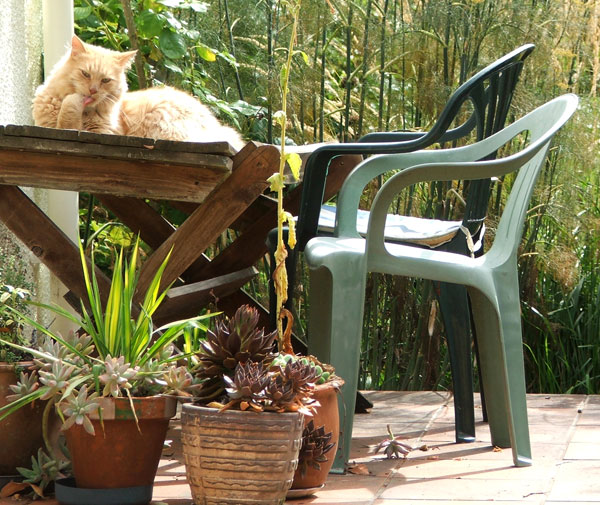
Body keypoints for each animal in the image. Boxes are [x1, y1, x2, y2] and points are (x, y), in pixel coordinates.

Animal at [31, 36, 244, 149]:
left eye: (105, 80)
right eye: (85, 74)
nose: (92, 90)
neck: (86, 115)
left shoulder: (94, 131)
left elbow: (67, 112)